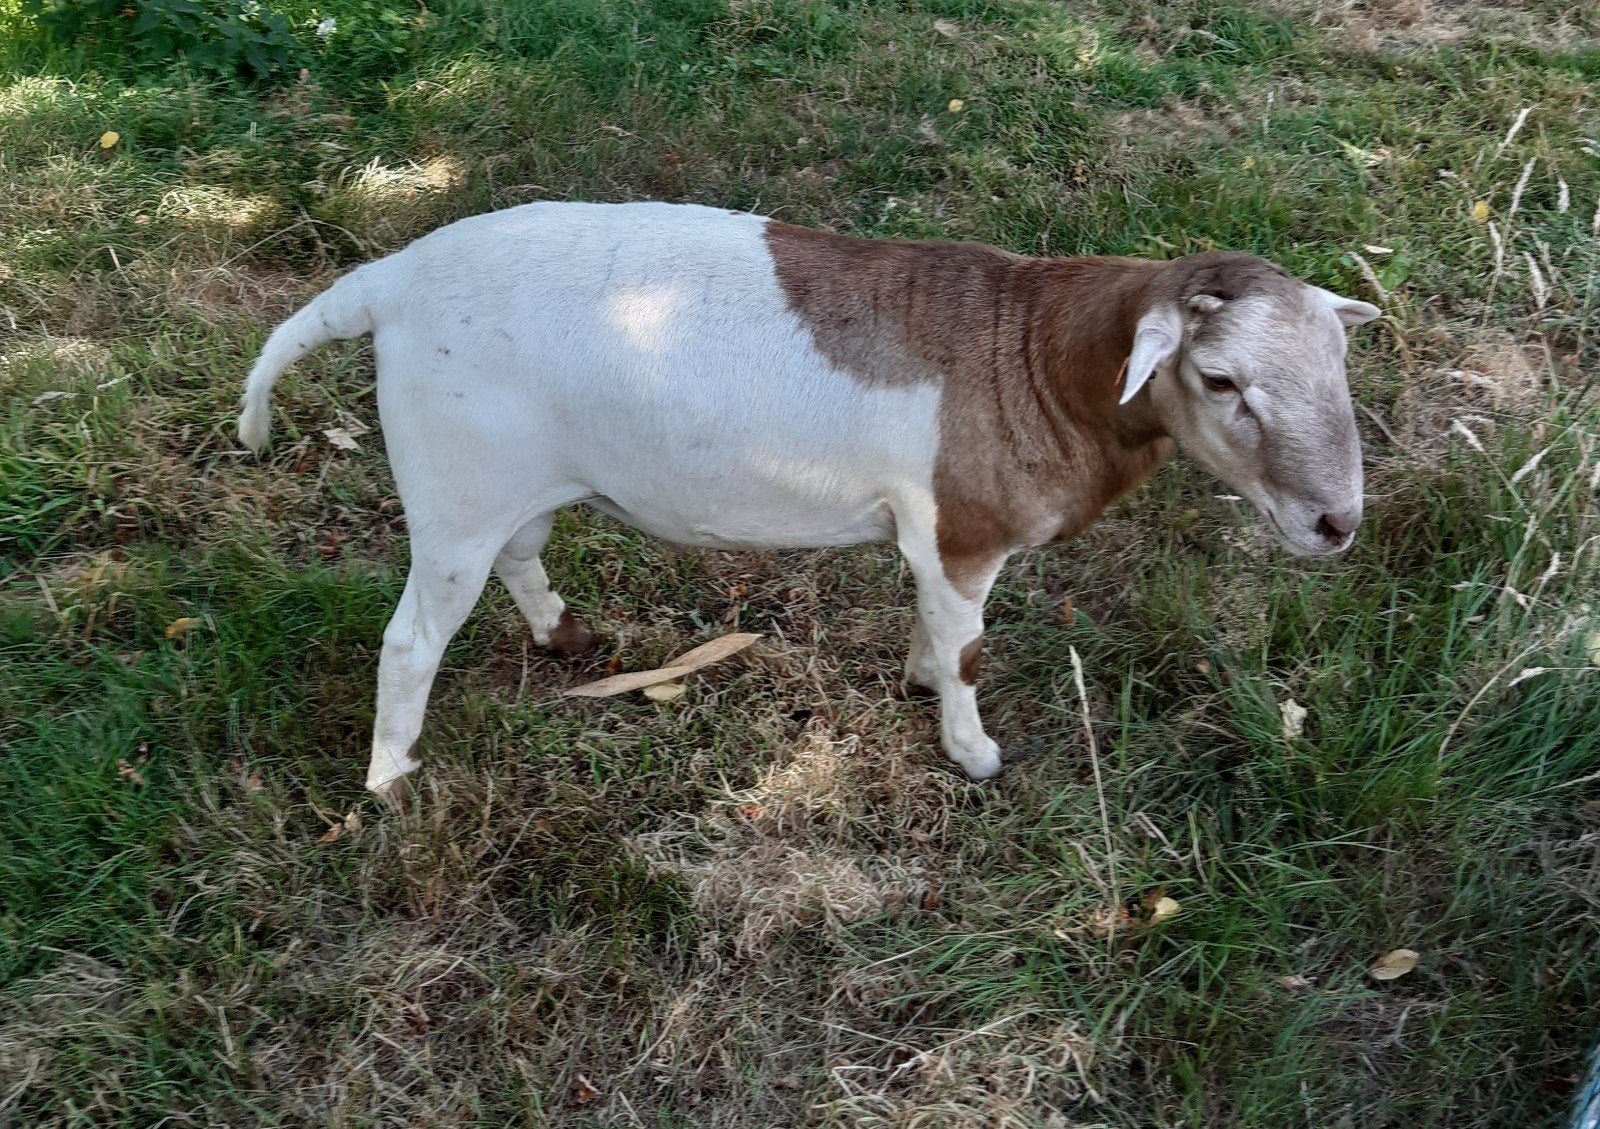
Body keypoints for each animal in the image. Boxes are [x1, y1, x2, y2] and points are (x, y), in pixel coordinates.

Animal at [239, 201, 1379, 802]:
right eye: (1220, 379)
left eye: (1338, 364)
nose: (1339, 523)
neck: (1031, 356)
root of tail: (388, 284)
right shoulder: (963, 528)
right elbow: (969, 647)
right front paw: (972, 750)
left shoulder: (932, 538)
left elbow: (937, 629)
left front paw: (920, 680)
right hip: (455, 483)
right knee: (410, 640)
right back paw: (391, 776)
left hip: (510, 480)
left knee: (522, 553)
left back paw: (565, 638)